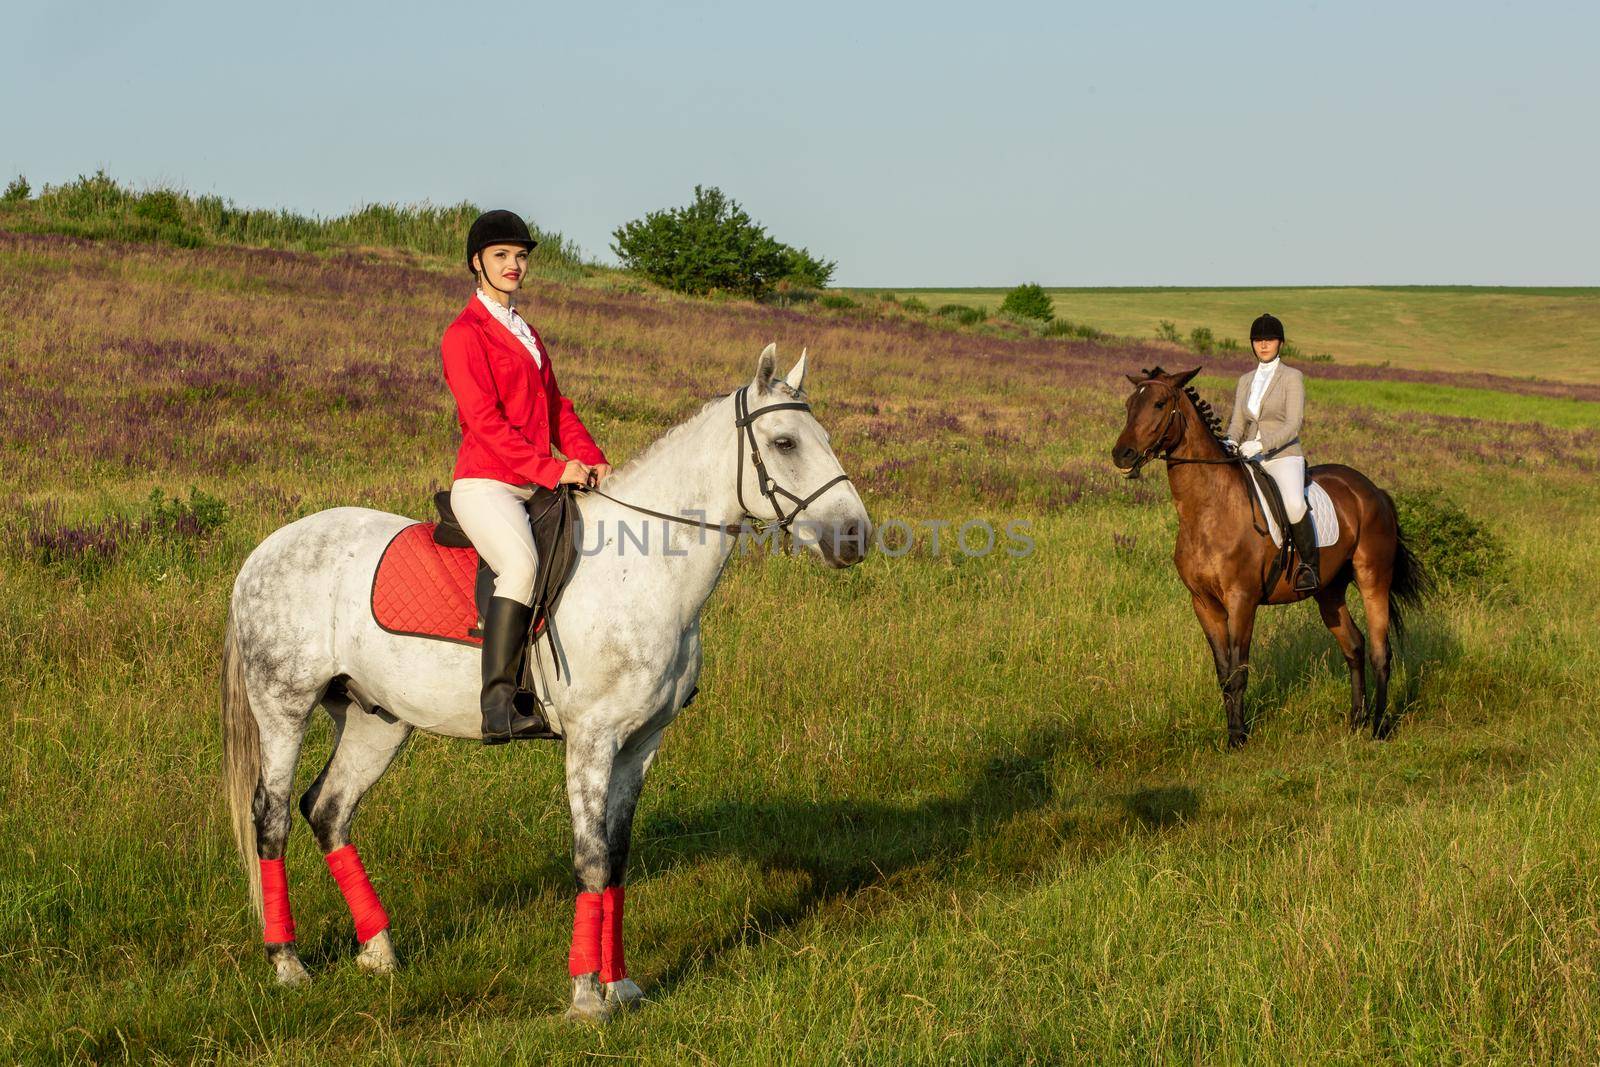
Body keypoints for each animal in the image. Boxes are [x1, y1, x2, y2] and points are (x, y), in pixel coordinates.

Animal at [219, 347, 870, 1023]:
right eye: (785, 441)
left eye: (825, 437)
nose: (855, 536)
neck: (642, 568)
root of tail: (265, 550)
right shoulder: (591, 740)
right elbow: (589, 861)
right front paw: (585, 998)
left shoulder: (641, 745)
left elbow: (616, 860)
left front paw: (620, 985)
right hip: (283, 708)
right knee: (271, 817)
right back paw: (288, 964)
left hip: (377, 721)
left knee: (329, 809)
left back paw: (379, 951)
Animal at [1113, 363, 1427, 748]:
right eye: (1130, 404)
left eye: (1159, 404)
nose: (1122, 455)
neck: (1209, 509)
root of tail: (1373, 490)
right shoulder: (1203, 604)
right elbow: (1223, 672)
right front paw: (1233, 732)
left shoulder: (1241, 600)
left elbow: (1238, 671)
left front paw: (1238, 739)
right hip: (1329, 591)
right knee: (1354, 645)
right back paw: (1357, 720)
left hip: (1373, 580)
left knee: (1381, 652)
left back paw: (1380, 727)